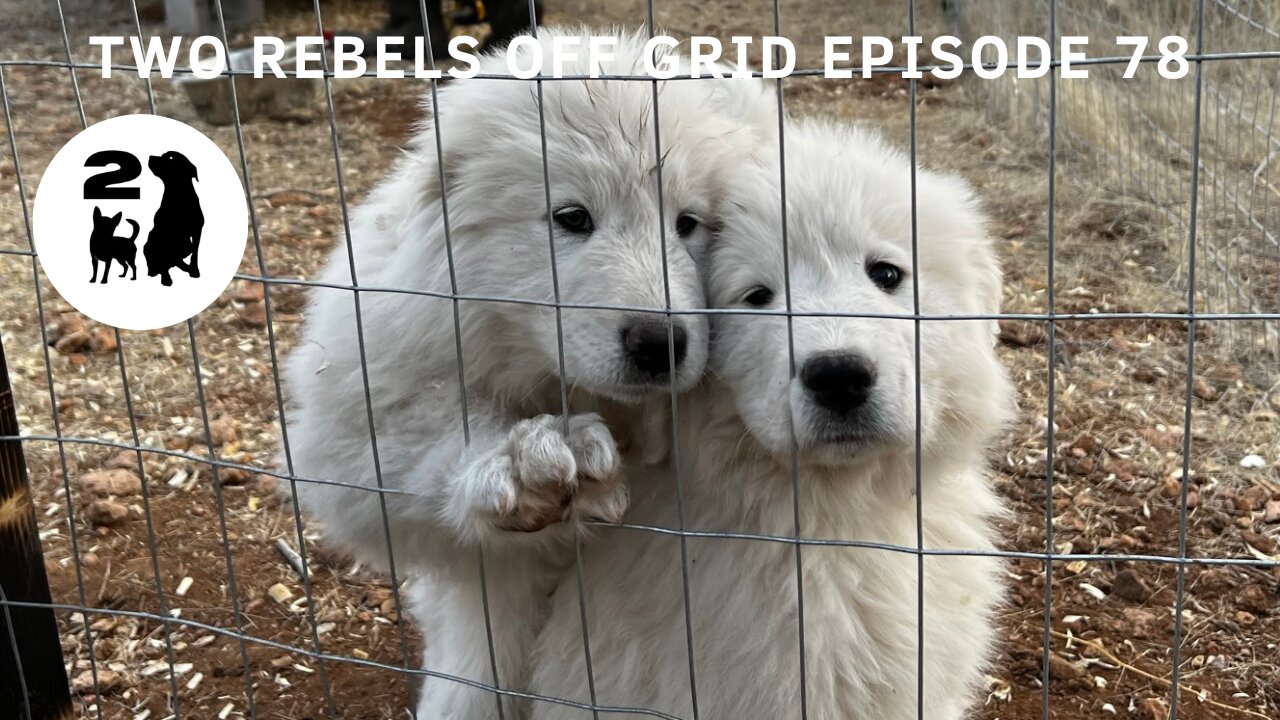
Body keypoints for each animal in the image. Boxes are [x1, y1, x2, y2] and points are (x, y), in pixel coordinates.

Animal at [282, 26, 768, 717]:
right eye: (571, 218)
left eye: (688, 223)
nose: (659, 344)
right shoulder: (359, 405)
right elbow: (401, 449)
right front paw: (526, 460)